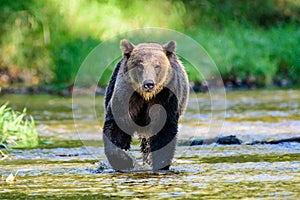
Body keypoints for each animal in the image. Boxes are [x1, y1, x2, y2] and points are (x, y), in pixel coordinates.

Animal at [103, 39, 188, 172]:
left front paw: (159, 164)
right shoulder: (125, 97)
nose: (148, 84)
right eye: (140, 65)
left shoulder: (166, 98)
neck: (146, 97)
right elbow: (117, 127)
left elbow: (163, 131)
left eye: (157, 65)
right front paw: (125, 161)